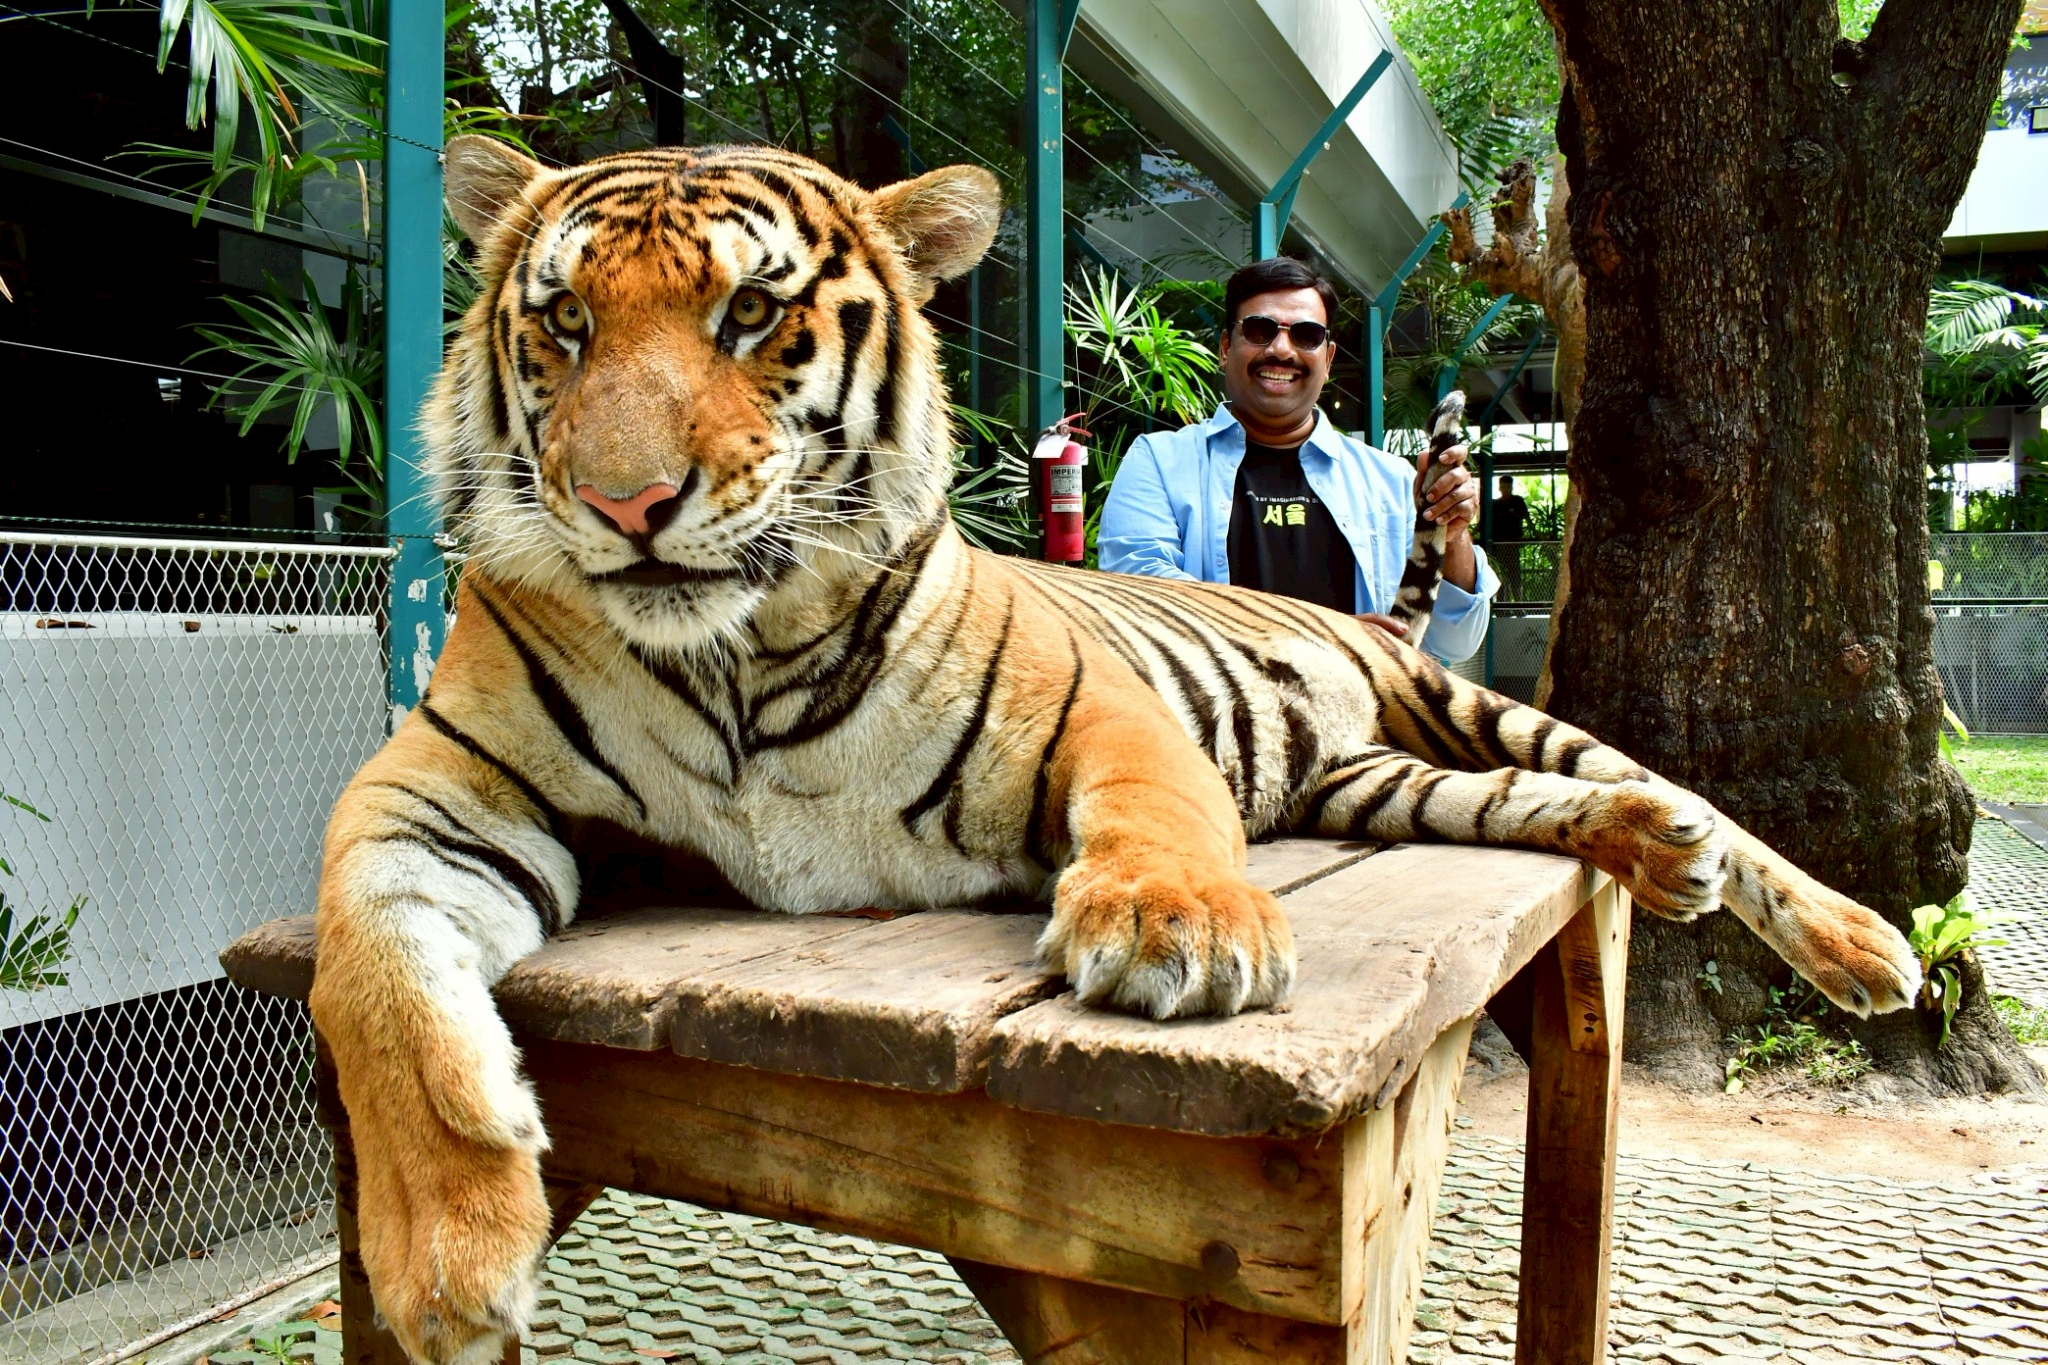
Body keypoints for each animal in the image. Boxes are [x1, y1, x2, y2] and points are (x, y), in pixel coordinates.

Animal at [308, 135, 1923, 1365]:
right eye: (565, 325)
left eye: (753, 317)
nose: (623, 504)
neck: (732, 658)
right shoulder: (435, 787)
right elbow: (369, 975)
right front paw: (444, 1260)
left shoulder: (1092, 703)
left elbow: (1153, 807)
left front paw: (1176, 928)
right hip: (1386, 778)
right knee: (1534, 800)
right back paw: (1656, 853)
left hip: (1465, 705)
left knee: (1653, 774)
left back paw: (1855, 940)